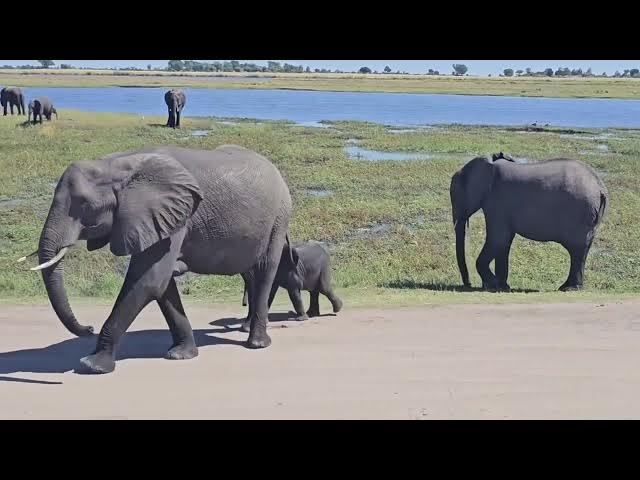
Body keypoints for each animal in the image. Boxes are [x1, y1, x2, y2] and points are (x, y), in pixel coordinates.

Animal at [25, 145, 293, 374]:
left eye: (84, 204)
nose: (88, 328)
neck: (115, 164)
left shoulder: (174, 216)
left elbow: (149, 280)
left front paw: (92, 365)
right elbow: (161, 284)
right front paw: (181, 355)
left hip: (279, 218)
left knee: (265, 271)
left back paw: (256, 343)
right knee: (251, 274)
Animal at [450, 152, 608, 292]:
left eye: (456, 196)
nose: (468, 284)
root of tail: (600, 188)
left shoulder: (497, 203)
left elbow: (499, 239)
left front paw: (494, 285)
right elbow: (504, 243)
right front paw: (502, 286)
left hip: (580, 212)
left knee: (577, 250)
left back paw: (569, 289)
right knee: (581, 251)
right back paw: (567, 287)